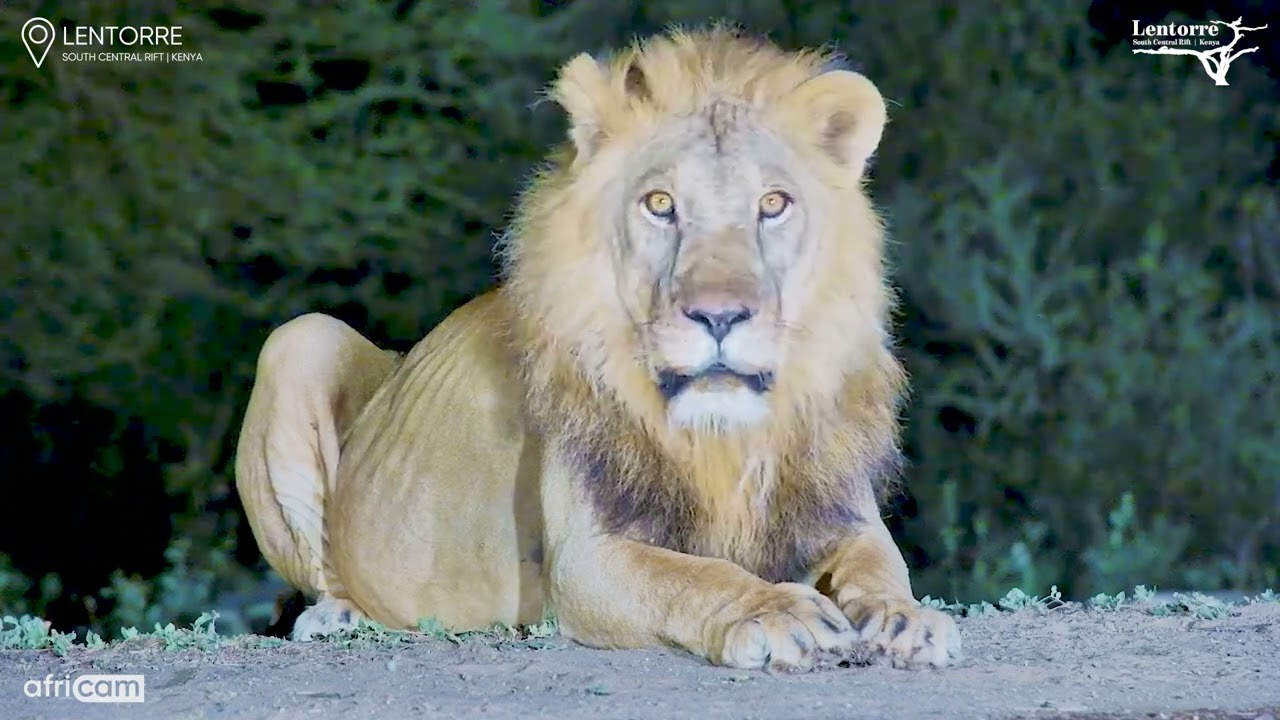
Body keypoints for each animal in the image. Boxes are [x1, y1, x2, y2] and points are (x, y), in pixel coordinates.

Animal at [234, 25, 962, 671]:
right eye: (660, 204)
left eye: (774, 204)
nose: (720, 315)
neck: (722, 441)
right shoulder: (588, 560)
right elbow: (695, 577)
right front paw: (776, 611)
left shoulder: (844, 512)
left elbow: (881, 565)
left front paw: (904, 619)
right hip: (296, 339)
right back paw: (338, 617)